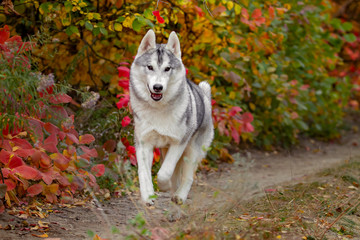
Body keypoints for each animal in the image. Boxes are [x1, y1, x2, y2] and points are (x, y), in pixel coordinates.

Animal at [129, 30, 214, 205]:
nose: (158, 87)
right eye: (150, 67)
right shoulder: (143, 143)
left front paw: (164, 186)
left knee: (187, 176)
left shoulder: (178, 143)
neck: (158, 110)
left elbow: (164, 172)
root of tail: (204, 96)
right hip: (165, 150)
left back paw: (179, 195)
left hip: (192, 150)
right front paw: (147, 196)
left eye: (167, 68)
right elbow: (144, 172)